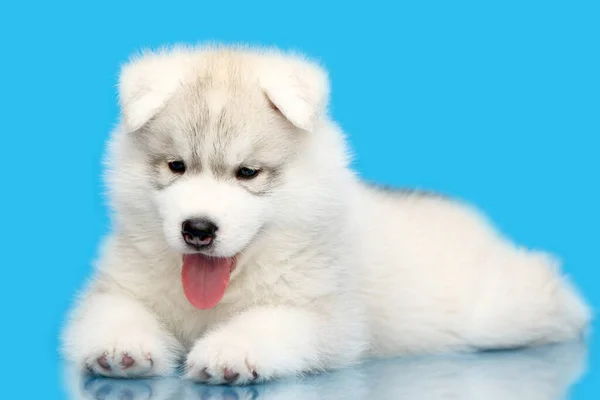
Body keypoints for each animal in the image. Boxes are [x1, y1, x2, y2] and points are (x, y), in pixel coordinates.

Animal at [62, 43, 592, 384]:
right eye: (176, 166)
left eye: (248, 173)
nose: (198, 230)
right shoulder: (120, 286)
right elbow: (115, 310)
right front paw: (121, 348)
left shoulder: (325, 315)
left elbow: (268, 320)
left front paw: (230, 350)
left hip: (501, 309)